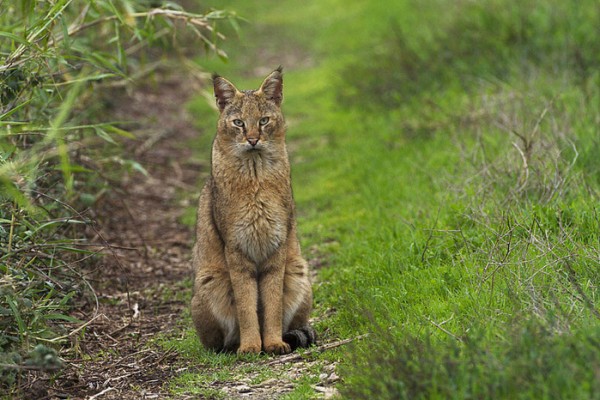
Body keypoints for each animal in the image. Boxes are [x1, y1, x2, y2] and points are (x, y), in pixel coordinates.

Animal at [191, 67, 314, 354]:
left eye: (264, 120)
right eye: (238, 123)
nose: (253, 140)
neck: (255, 175)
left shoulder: (276, 247)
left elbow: (272, 303)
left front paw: (273, 342)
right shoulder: (236, 249)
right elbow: (246, 304)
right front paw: (250, 345)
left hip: (298, 270)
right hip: (210, 279)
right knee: (217, 342)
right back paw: (233, 346)